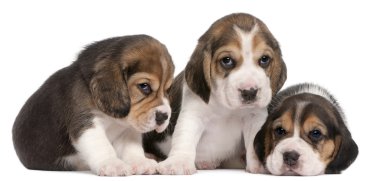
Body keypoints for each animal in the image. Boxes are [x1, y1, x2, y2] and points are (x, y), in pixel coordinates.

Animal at [12, 34, 175, 176]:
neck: (116, 120)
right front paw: (113, 164)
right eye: (144, 86)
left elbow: (131, 147)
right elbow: (102, 146)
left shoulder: (128, 130)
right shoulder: (87, 123)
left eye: (168, 90)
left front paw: (141, 162)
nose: (164, 116)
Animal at [144, 12, 286, 174]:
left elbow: (253, 141)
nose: (250, 92)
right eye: (227, 60)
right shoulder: (193, 114)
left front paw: (259, 165)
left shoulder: (254, 117)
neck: (226, 107)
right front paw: (178, 162)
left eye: (264, 59)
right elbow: (185, 138)